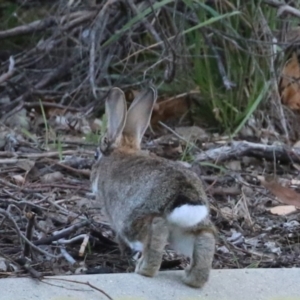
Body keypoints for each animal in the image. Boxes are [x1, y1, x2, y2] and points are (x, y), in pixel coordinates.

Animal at [90, 86, 217, 288]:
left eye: (95, 156)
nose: (91, 177)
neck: (122, 151)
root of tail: (183, 193)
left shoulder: (113, 215)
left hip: (135, 221)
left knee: (155, 231)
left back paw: (143, 269)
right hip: (186, 231)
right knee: (205, 239)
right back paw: (191, 278)